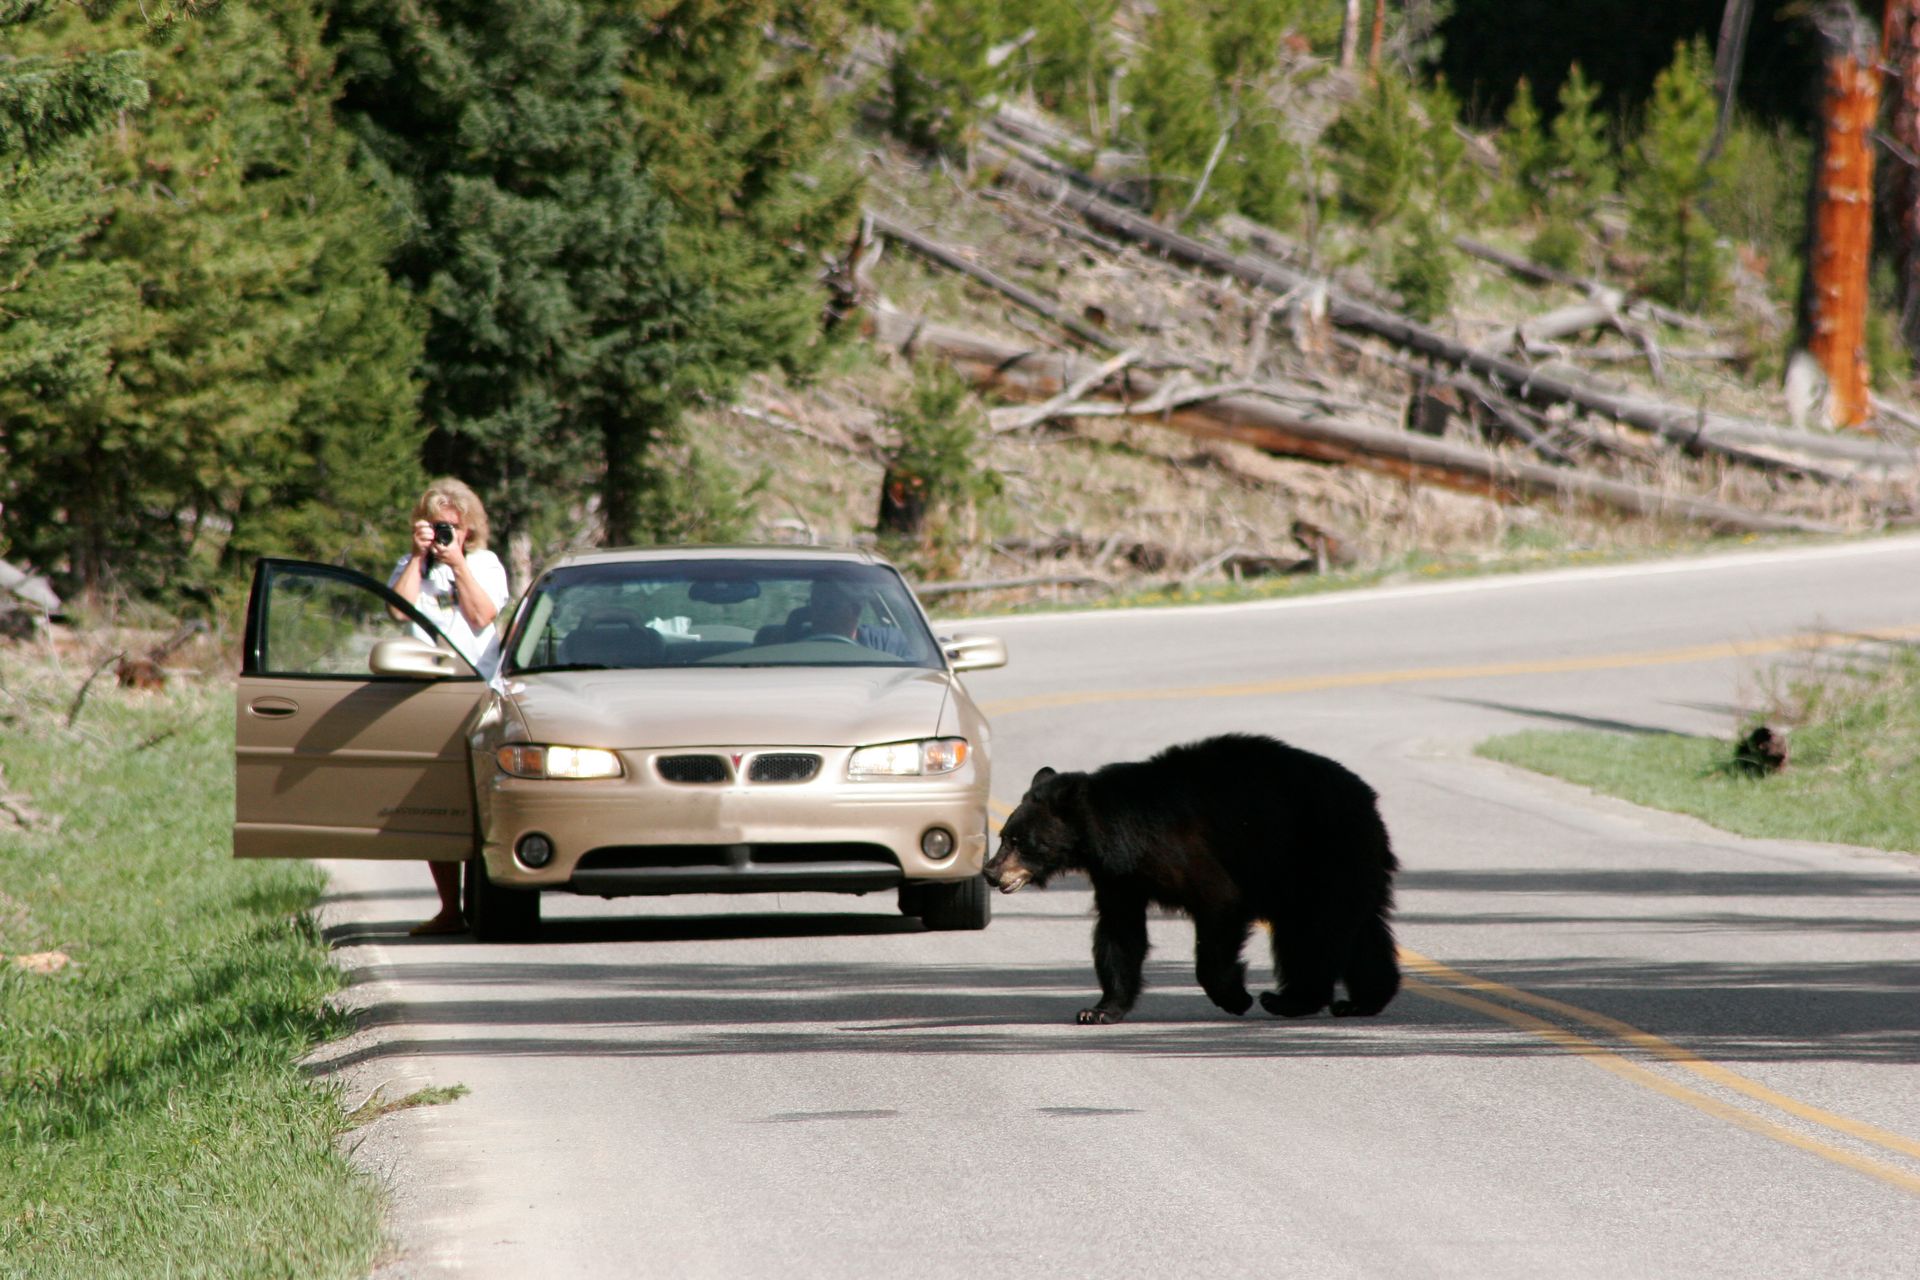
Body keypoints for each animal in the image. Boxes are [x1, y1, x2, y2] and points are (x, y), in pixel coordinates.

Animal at [983, 733, 1400, 1025]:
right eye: (1004, 836)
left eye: (1020, 841)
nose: (990, 872)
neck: (1119, 835)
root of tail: (1367, 797)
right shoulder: (1118, 876)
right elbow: (1119, 932)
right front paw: (1100, 1009)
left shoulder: (1183, 849)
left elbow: (1219, 903)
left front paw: (1235, 997)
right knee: (1362, 927)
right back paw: (1363, 999)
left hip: (1320, 851)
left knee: (1314, 930)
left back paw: (1288, 999)